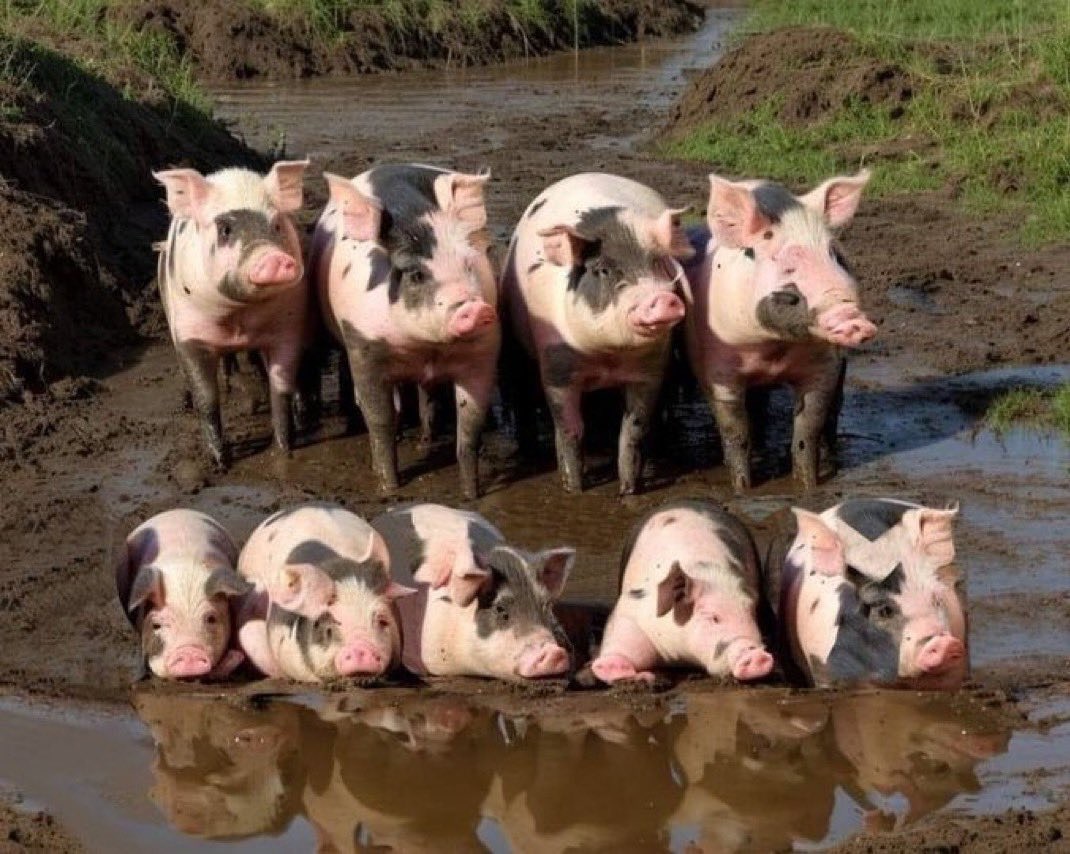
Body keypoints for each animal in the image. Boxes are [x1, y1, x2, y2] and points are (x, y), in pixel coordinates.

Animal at [114, 509, 251, 679]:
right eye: (156, 625)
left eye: (211, 619)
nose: (189, 654)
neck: (185, 578)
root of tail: (175, 511)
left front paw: (236, 656)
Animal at [154, 160, 311, 469]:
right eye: (225, 229)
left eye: (277, 224)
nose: (273, 258)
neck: (239, 317)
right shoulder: (189, 334)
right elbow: (207, 399)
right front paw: (221, 463)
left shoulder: (289, 328)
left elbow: (280, 388)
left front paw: (285, 450)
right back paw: (192, 400)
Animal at [309, 163, 500, 499]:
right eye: (416, 274)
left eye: (468, 264)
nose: (474, 308)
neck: (426, 346)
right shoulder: (362, 345)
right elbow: (379, 418)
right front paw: (389, 487)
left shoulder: (482, 353)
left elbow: (470, 426)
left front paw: (470, 495)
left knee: (428, 397)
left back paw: (426, 439)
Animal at [501, 172, 694, 494]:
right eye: (603, 270)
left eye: (656, 262)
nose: (661, 298)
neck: (608, 356)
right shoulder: (556, 367)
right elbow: (570, 429)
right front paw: (574, 489)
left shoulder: (650, 368)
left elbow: (633, 430)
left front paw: (628, 491)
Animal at [682, 170, 877, 491]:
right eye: (787, 266)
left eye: (835, 256)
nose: (851, 318)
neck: (771, 347)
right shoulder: (715, 368)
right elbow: (735, 430)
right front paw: (742, 489)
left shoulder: (825, 365)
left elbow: (809, 426)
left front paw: (809, 486)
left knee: (833, 413)